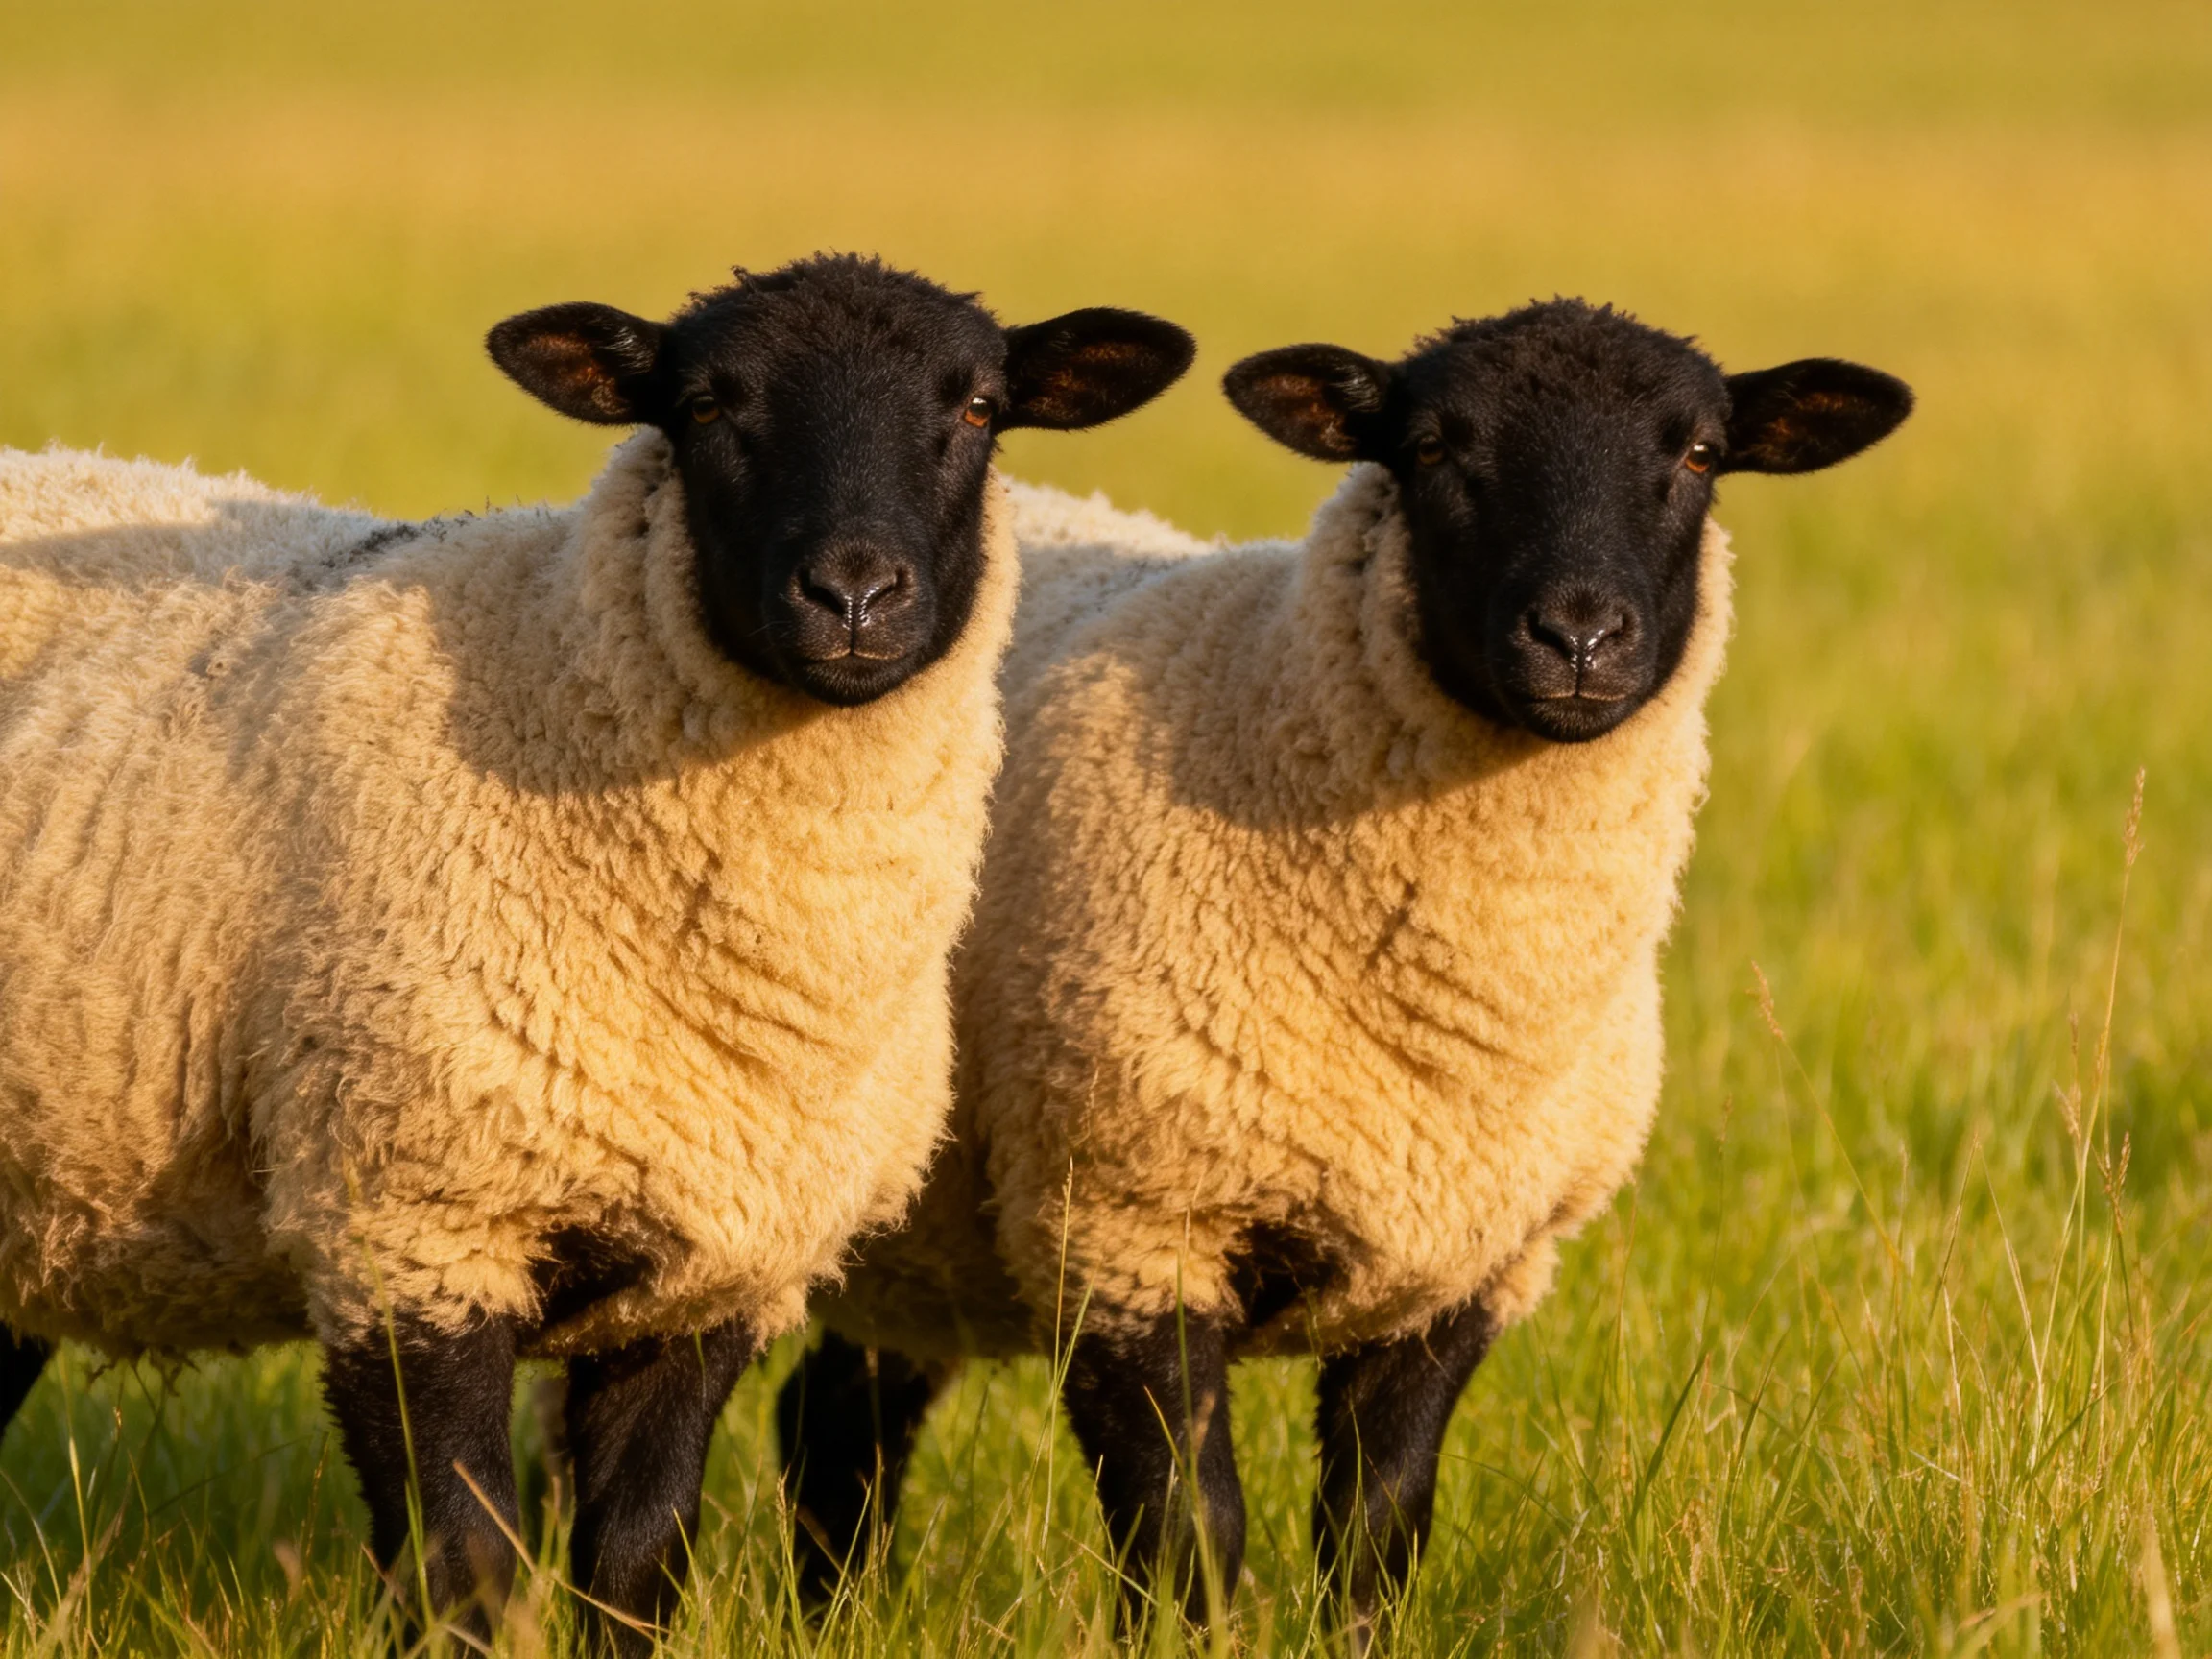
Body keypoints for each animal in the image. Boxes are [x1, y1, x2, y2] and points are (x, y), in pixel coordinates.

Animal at [0, 252, 1195, 1654]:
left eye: (977, 409)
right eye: (708, 403)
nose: (854, 596)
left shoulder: (716, 1267)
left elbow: (636, 1562)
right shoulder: (412, 1226)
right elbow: (464, 1566)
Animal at [783, 298, 1912, 1638]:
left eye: (1699, 455)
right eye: (1430, 446)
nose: (1580, 637)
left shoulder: (1469, 1264)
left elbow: (1376, 1532)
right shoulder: (1128, 1221)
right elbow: (1189, 1531)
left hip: (918, 1234)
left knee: (841, 1417)